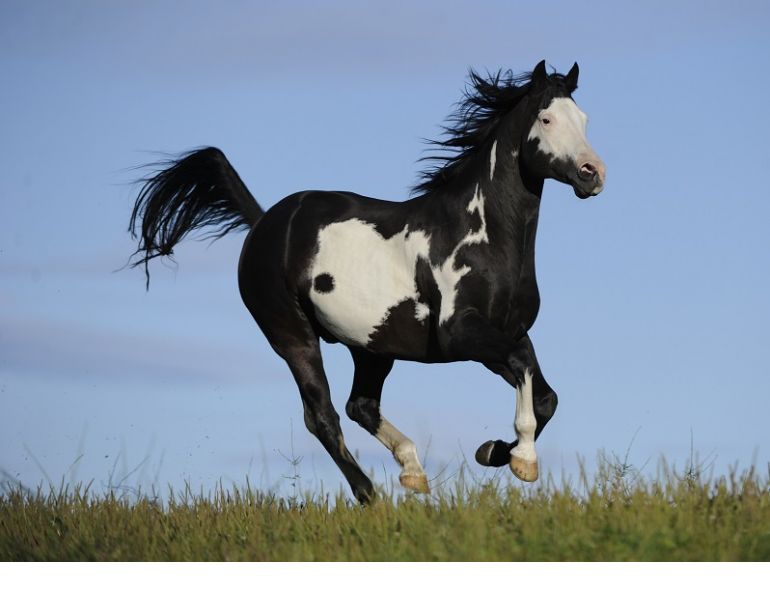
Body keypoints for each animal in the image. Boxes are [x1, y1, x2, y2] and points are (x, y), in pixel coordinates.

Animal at [128, 60, 606, 504]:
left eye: (584, 119)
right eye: (547, 119)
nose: (592, 173)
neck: (483, 233)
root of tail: (264, 222)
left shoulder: (509, 334)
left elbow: (544, 397)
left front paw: (492, 451)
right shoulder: (461, 333)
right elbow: (526, 374)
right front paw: (522, 460)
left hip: (372, 346)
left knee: (360, 405)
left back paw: (412, 470)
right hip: (292, 335)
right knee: (322, 416)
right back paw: (372, 496)